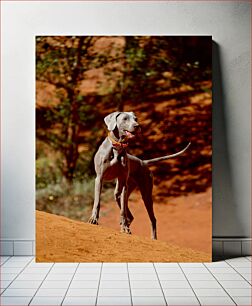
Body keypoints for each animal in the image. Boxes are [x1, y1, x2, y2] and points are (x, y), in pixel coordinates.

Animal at [87, 111, 190, 240]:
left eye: (135, 119)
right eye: (125, 119)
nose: (137, 126)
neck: (117, 146)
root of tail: (143, 162)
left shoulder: (124, 183)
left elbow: (122, 211)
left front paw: (125, 228)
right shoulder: (99, 178)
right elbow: (97, 202)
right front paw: (94, 219)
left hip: (145, 194)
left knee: (151, 218)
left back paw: (150, 237)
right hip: (119, 193)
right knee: (130, 215)